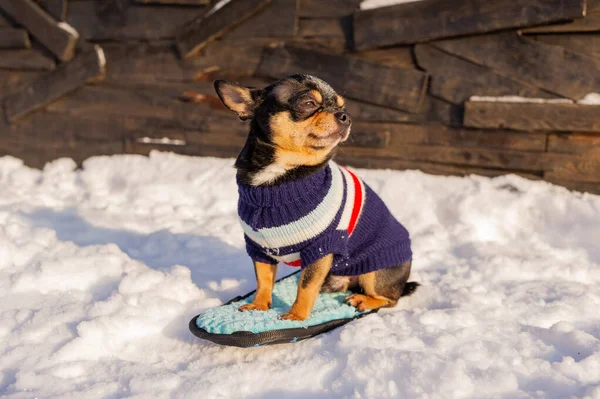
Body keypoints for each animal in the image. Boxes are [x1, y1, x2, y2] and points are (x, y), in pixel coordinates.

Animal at [214, 74, 418, 322]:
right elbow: (263, 280)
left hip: (374, 273)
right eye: (309, 104)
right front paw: (259, 306)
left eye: (342, 107)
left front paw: (296, 317)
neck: (280, 178)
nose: (345, 115)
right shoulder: (259, 248)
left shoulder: (320, 249)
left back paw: (363, 300)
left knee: (389, 299)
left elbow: (306, 286)